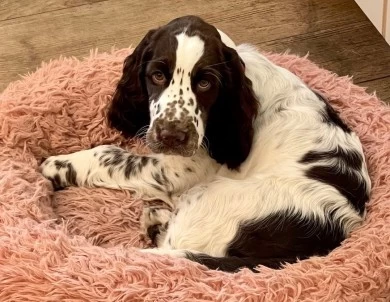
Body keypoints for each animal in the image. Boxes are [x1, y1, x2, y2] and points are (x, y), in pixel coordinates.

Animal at [40, 15, 372, 272]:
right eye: (157, 75)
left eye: (205, 83)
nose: (173, 136)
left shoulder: (184, 168)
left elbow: (112, 156)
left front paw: (54, 165)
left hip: (209, 197)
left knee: (171, 246)